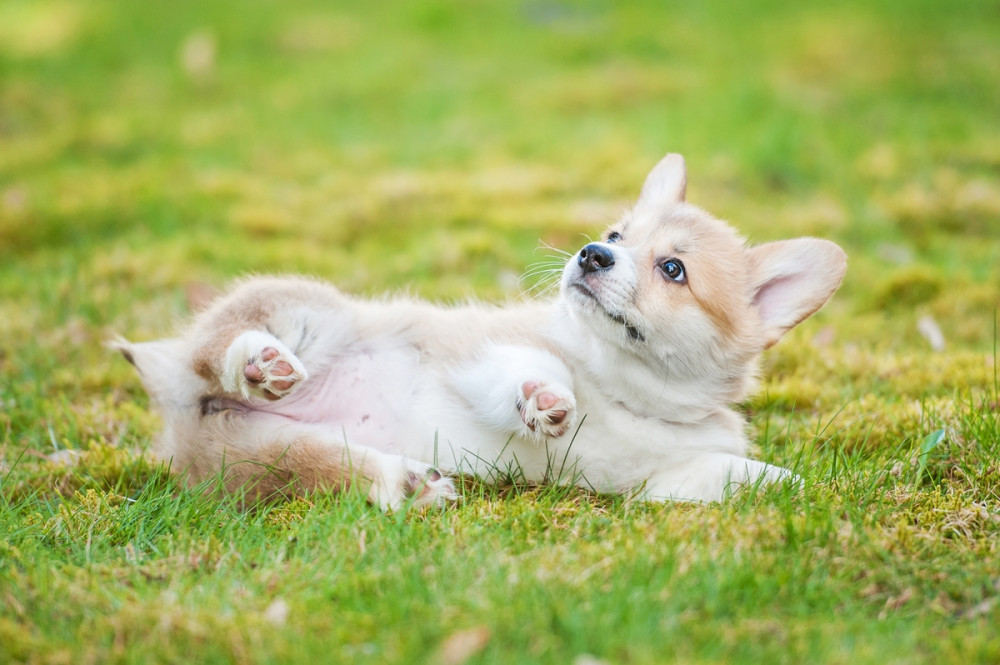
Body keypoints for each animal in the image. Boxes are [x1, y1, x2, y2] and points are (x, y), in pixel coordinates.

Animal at [117, 154, 844, 508]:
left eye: (674, 269)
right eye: (616, 236)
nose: (591, 255)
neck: (624, 390)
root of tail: (178, 403)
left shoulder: (663, 477)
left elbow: (745, 475)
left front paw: (798, 488)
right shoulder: (480, 349)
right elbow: (525, 369)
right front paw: (545, 400)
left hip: (263, 457)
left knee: (334, 472)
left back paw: (409, 486)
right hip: (307, 314)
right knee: (216, 346)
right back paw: (259, 362)